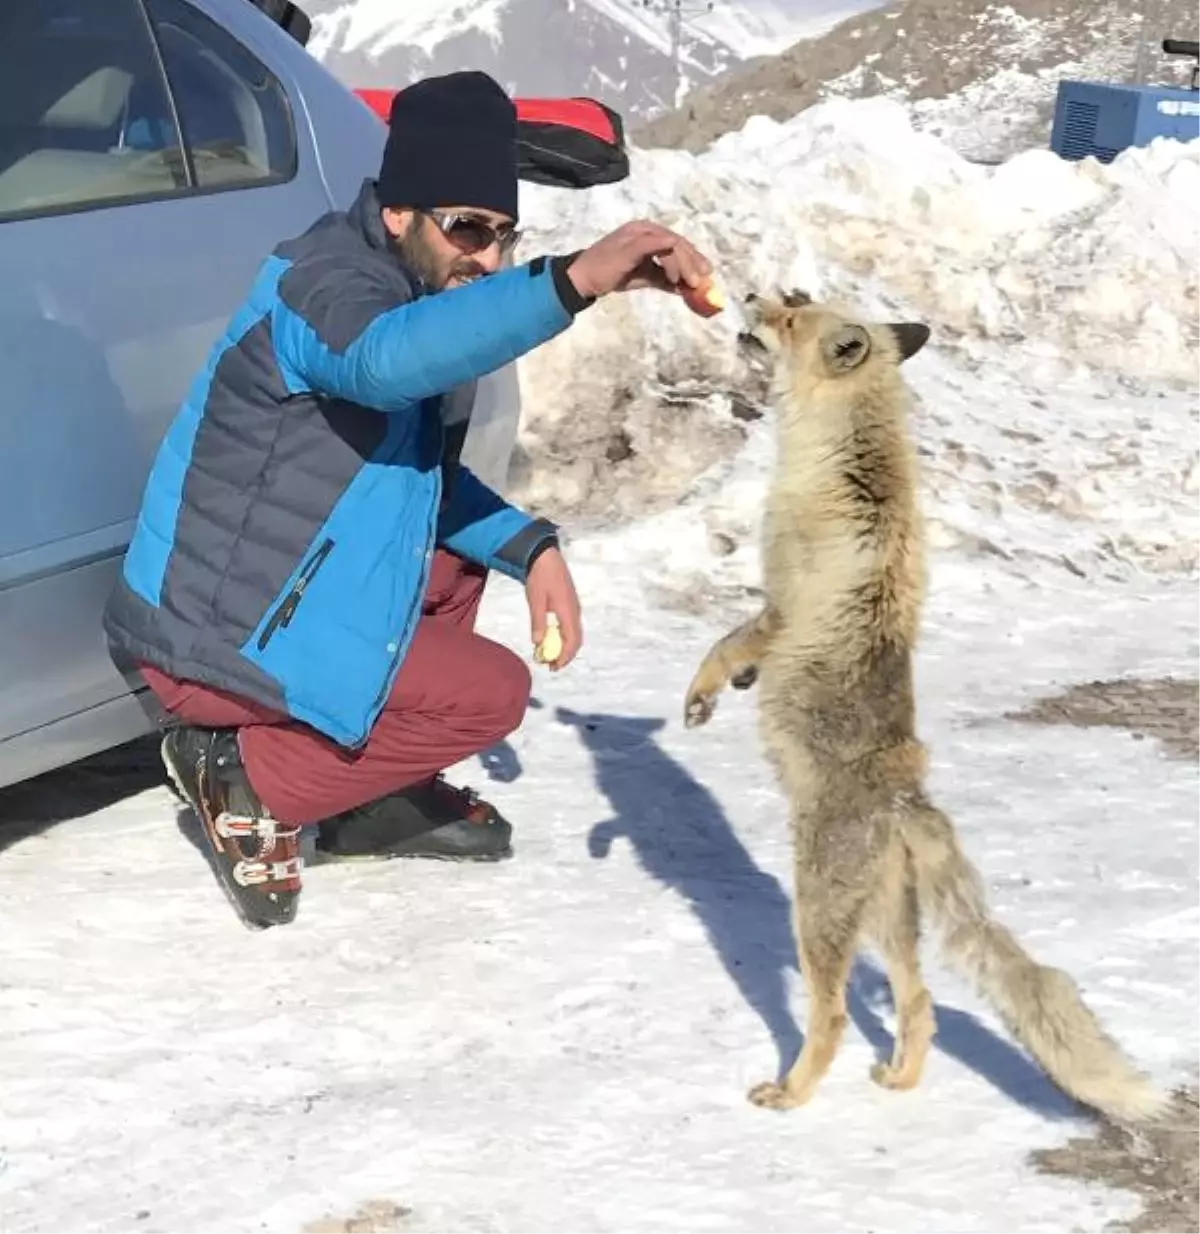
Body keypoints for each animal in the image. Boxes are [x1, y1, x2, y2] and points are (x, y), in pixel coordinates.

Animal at [691, 291, 1165, 1130]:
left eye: (790, 316)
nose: (749, 296)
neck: (846, 460)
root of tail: (908, 801)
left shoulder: (778, 604)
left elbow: (724, 645)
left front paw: (703, 694)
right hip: (888, 923)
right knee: (922, 1004)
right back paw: (901, 1080)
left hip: (819, 916)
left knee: (834, 1016)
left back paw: (792, 1093)